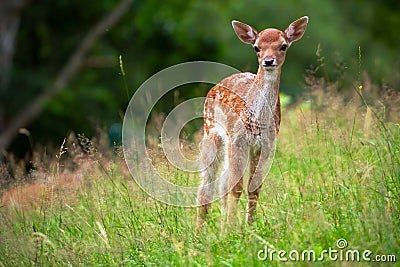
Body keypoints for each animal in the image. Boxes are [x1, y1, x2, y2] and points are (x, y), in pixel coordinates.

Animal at [198, 16, 310, 228]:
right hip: (212, 135)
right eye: (257, 47)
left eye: (283, 46)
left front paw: (249, 226)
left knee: (222, 184)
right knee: (206, 187)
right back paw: (201, 230)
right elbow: (236, 188)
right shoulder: (238, 140)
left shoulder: (265, 144)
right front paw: (232, 229)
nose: (268, 60)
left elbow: (253, 188)